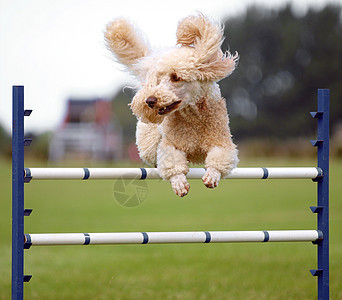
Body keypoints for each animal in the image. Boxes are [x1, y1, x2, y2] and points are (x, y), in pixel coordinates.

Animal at [105, 14, 239, 197]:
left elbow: (220, 157)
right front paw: (179, 183)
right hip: (148, 144)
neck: (193, 116)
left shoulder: (222, 142)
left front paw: (212, 175)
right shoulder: (170, 145)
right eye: (159, 79)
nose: (150, 100)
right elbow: (172, 161)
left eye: (176, 77)